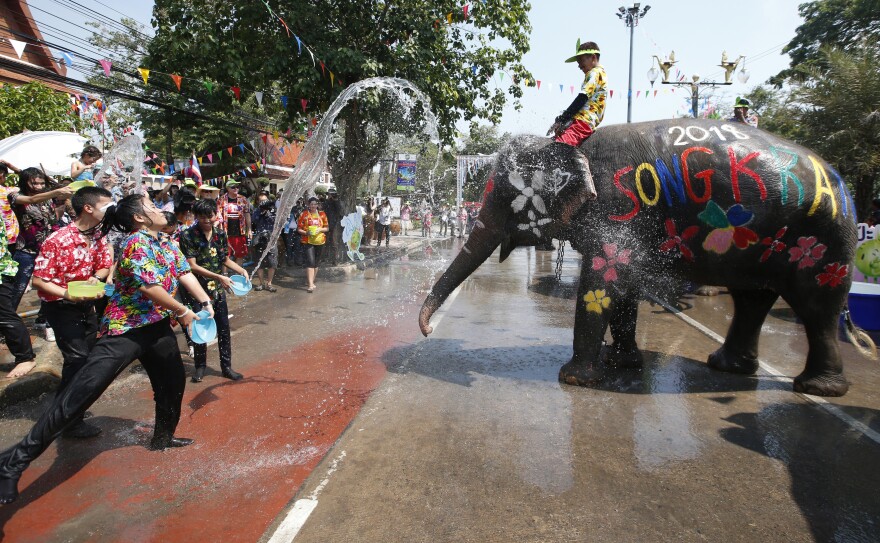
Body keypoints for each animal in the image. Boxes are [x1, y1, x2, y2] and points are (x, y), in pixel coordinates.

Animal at [420, 119, 860, 398]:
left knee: (817, 307)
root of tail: (841, 182)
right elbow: (624, 280)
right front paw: (622, 362)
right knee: (752, 299)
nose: (425, 331)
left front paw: (575, 379)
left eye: (501, 197)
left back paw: (817, 388)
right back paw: (727, 366)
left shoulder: (620, 207)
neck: (569, 147)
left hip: (824, 243)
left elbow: (602, 281)